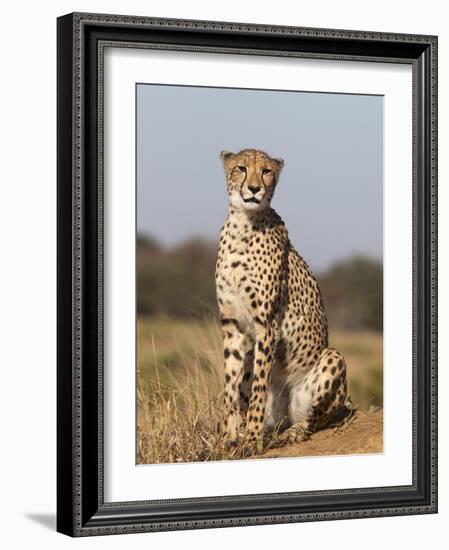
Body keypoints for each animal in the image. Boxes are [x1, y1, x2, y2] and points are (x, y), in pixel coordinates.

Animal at [215, 149, 348, 454]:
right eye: (241, 168)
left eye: (266, 171)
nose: (254, 189)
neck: (243, 224)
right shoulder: (232, 325)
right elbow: (230, 387)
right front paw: (229, 439)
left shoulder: (267, 326)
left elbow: (258, 390)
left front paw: (251, 442)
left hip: (331, 358)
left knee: (312, 421)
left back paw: (289, 434)